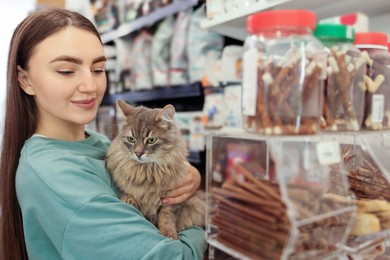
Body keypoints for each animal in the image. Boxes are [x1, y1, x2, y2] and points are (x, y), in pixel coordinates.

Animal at [105, 100, 206, 240]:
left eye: (151, 140)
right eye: (131, 139)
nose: (138, 153)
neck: (147, 171)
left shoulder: (170, 203)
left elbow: (166, 218)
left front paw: (169, 233)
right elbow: (128, 193)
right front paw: (129, 199)